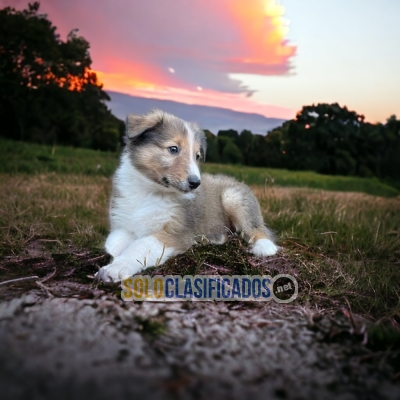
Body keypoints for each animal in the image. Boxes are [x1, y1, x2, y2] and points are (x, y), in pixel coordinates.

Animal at [97, 108, 278, 282]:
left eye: (197, 156)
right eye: (173, 149)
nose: (195, 183)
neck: (149, 190)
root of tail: (235, 180)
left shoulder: (173, 233)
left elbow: (139, 246)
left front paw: (116, 268)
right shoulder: (123, 224)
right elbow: (113, 242)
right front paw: (114, 257)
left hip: (234, 197)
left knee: (258, 230)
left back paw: (264, 248)